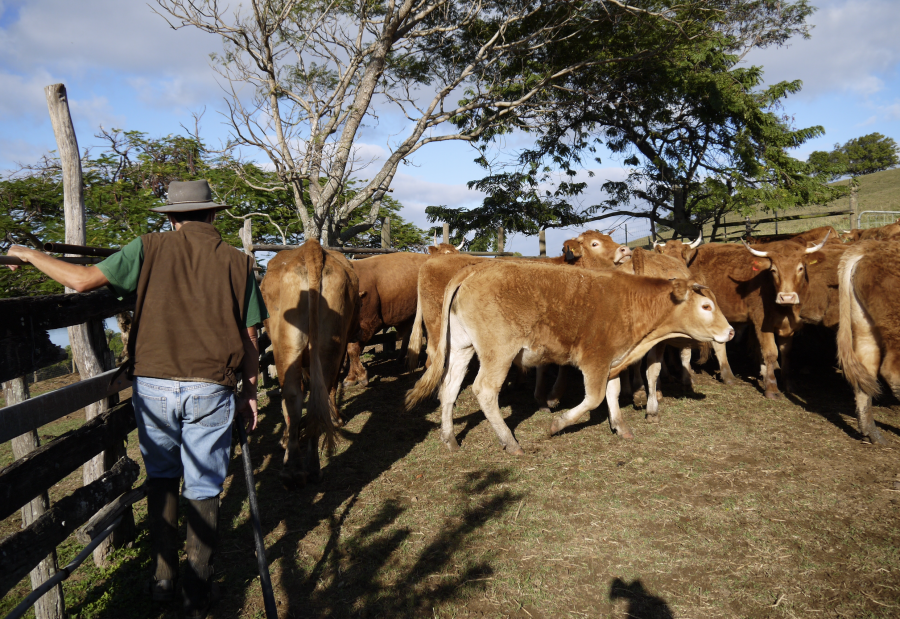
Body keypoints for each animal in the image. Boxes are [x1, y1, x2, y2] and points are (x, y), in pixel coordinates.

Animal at [260, 240, 358, 486]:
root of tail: (311, 248)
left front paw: (284, 439)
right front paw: (336, 419)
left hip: (285, 347)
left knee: (292, 398)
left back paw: (292, 470)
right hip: (330, 344)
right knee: (317, 395)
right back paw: (313, 467)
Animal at [406, 262, 732, 456]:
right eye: (706, 306)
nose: (729, 332)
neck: (631, 303)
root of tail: (476, 267)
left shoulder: (613, 360)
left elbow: (612, 393)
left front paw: (620, 426)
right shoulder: (595, 360)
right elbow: (594, 398)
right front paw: (557, 424)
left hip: (462, 347)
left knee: (449, 388)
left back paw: (449, 438)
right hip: (499, 352)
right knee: (484, 391)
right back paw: (510, 442)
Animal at [688, 235, 828, 400]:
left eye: (800, 268)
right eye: (773, 270)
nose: (786, 297)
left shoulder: (789, 326)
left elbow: (786, 353)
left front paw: (788, 384)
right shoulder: (763, 322)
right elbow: (771, 352)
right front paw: (772, 388)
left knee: (719, 343)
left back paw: (728, 376)